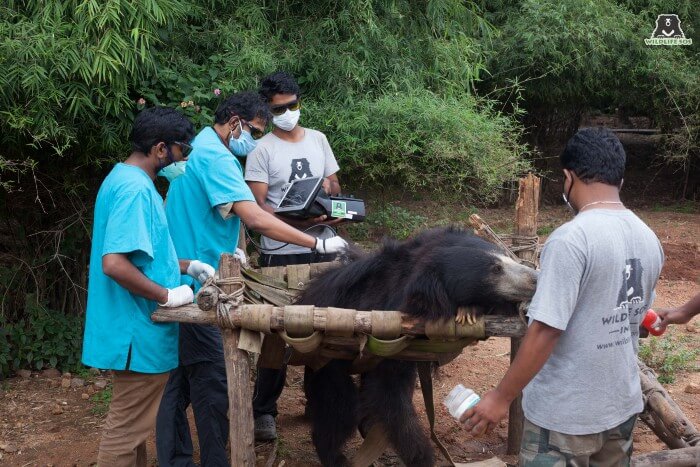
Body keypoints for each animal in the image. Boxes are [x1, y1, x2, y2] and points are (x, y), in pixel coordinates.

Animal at [296, 229, 536, 466]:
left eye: (504, 256)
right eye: (495, 269)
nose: (536, 278)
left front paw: (470, 310)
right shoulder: (387, 336)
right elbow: (390, 394)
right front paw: (421, 457)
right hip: (329, 354)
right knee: (340, 406)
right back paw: (336, 456)